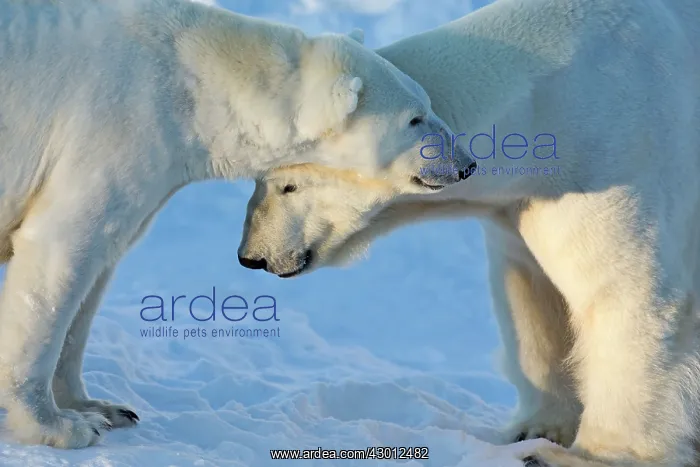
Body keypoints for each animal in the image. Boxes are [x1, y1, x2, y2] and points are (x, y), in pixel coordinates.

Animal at [0, 0, 477, 449]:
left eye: (428, 103)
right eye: (414, 118)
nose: (465, 164)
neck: (192, 75)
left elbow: (97, 269)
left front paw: (99, 408)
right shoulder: (116, 125)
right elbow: (61, 250)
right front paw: (58, 427)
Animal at [237, 0, 700, 466]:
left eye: (288, 187)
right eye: (259, 180)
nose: (251, 256)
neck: (546, 105)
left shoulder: (618, 155)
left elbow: (626, 293)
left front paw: (586, 454)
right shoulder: (520, 204)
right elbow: (531, 296)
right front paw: (534, 429)